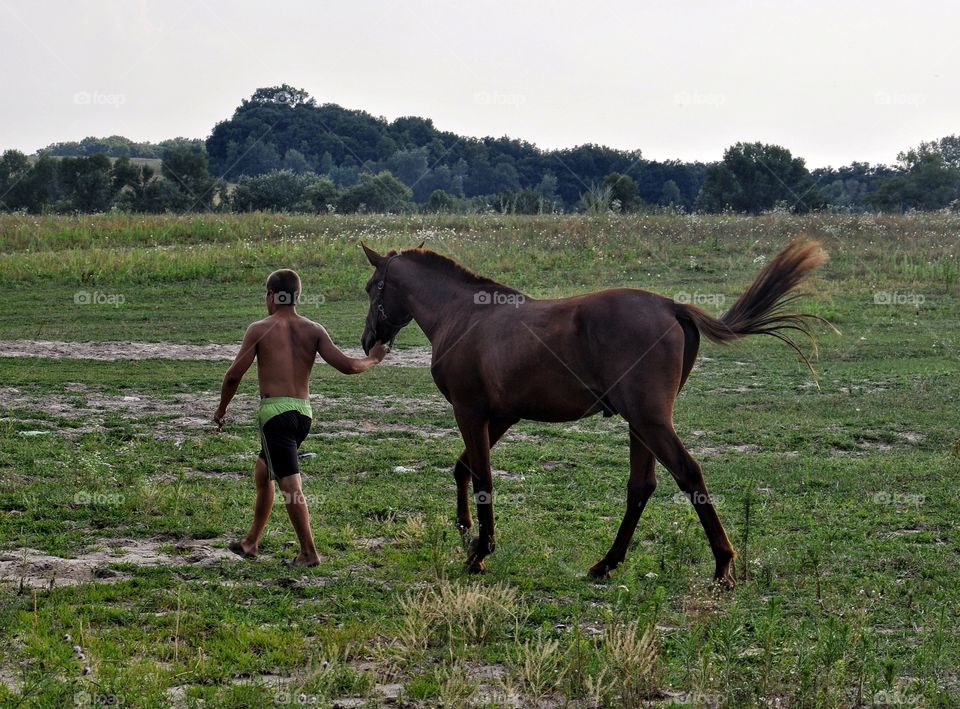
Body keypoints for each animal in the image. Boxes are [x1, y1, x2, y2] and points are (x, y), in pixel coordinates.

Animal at [356, 238, 828, 580]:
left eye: (370, 287)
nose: (366, 341)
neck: (464, 315)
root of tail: (672, 305)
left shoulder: (470, 412)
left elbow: (483, 477)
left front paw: (479, 553)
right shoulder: (501, 415)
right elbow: (465, 469)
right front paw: (466, 529)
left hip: (650, 421)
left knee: (688, 473)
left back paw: (722, 564)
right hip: (640, 425)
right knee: (642, 486)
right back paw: (608, 562)